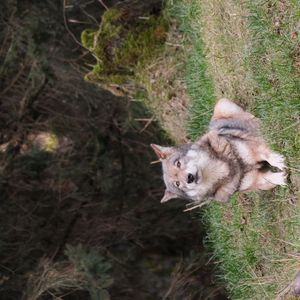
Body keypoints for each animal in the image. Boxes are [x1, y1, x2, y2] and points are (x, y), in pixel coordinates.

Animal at [151, 99, 288, 204]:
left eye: (178, 163)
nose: (189, 178)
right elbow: (270, 179)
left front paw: (278, 161)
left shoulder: (254, 148)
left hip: (222, 104)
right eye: (178, 184)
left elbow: (267, 155)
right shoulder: (257, 181)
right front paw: (281, 178)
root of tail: (213, 120)